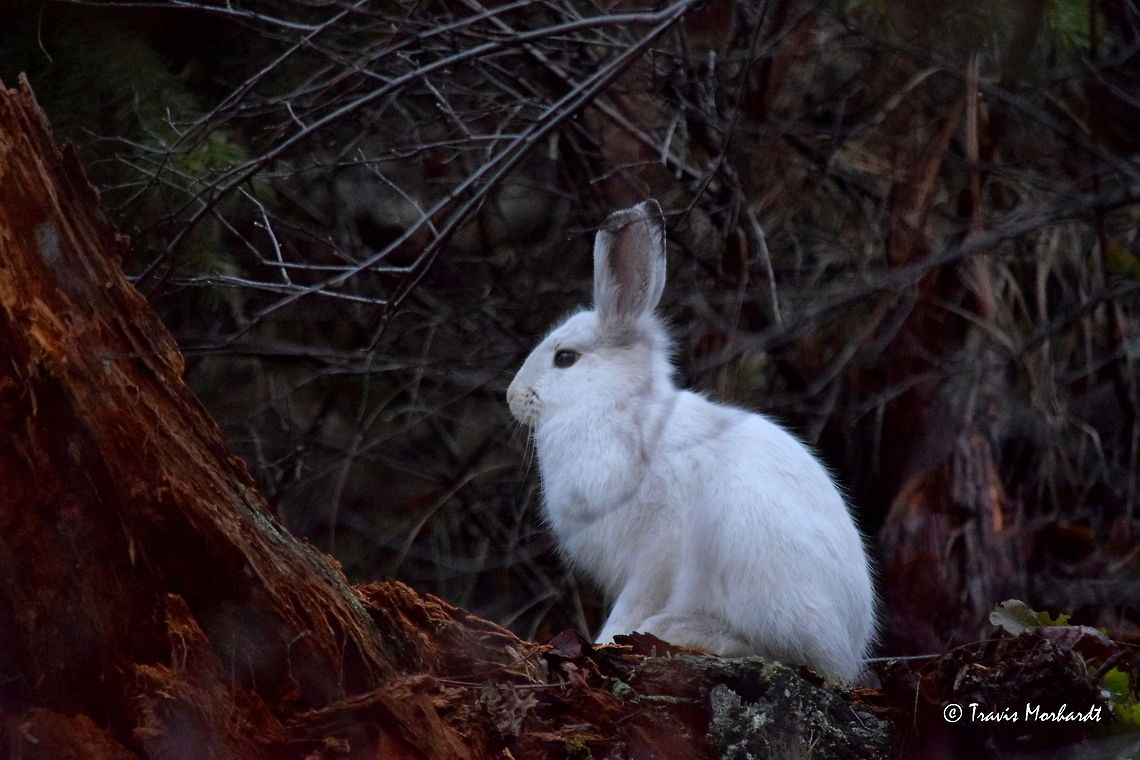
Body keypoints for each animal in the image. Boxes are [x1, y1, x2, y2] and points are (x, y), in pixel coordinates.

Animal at [506, 200, 875, 681]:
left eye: (564, 358)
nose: (512, 396)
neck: (616, 405)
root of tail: (847, 652)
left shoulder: (658, 547)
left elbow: (634, 601)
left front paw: (607, 640)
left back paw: (679, 631)